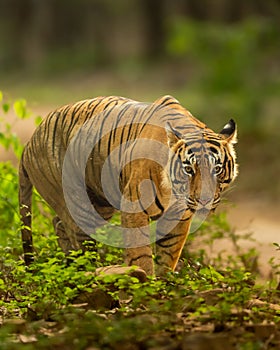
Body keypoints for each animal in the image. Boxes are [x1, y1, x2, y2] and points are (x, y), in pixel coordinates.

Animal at [18, 95, 237, 276]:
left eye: (217, 169)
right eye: (189, 169)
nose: (204, 200)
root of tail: (29, 143)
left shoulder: (178, 217)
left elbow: (168, 254)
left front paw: (165, 283)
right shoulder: (134, 207)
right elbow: (140, 254)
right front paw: (146, 284)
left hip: (100, 203)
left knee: (59, 223)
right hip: (79, 205)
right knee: (78, 237)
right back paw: (84, 270)